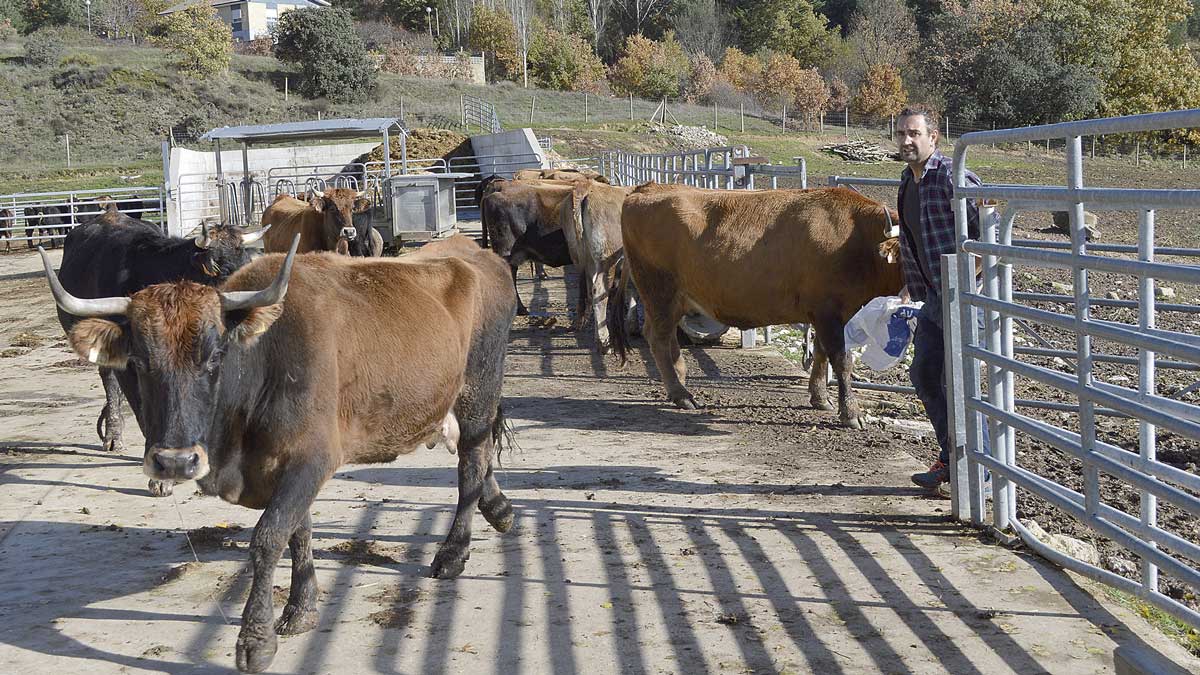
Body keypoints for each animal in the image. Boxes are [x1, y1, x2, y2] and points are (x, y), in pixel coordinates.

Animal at [609, 182, 902, 425]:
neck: (857, 240)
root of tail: (647, 188)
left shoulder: (825, 313)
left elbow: (820, 353)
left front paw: (820, 398)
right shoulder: (829, 312)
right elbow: (841, 360)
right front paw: (850, 413)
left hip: (673, 299)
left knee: (665, 335)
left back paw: (678, 381)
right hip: (658, 290)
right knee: (658, 338)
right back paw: (682, 394)